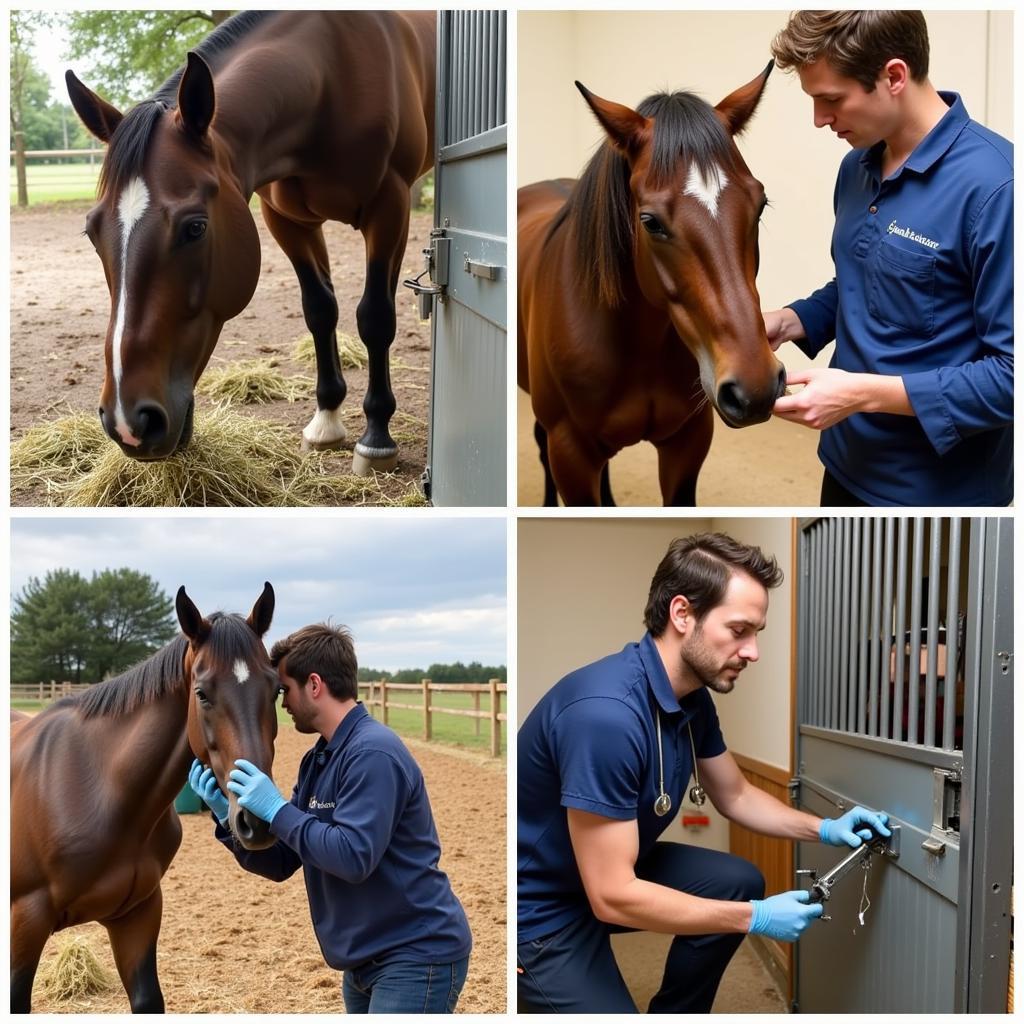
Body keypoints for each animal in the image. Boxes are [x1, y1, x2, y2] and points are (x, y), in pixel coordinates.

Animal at [9, 581, 280, 1011]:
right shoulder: (26, 923)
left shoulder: (137, 915)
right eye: (201, 693)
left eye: (276, 690)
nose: (256, 820)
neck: (100, 792)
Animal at [64, 11, 432, 468]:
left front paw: (376, 436)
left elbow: (376, 317)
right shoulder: (287, 221)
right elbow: (320, 309)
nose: (128, 424)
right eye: (92, 233)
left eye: (195, 227)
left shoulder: (391, 208)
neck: (330, 74)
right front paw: (326, 420)